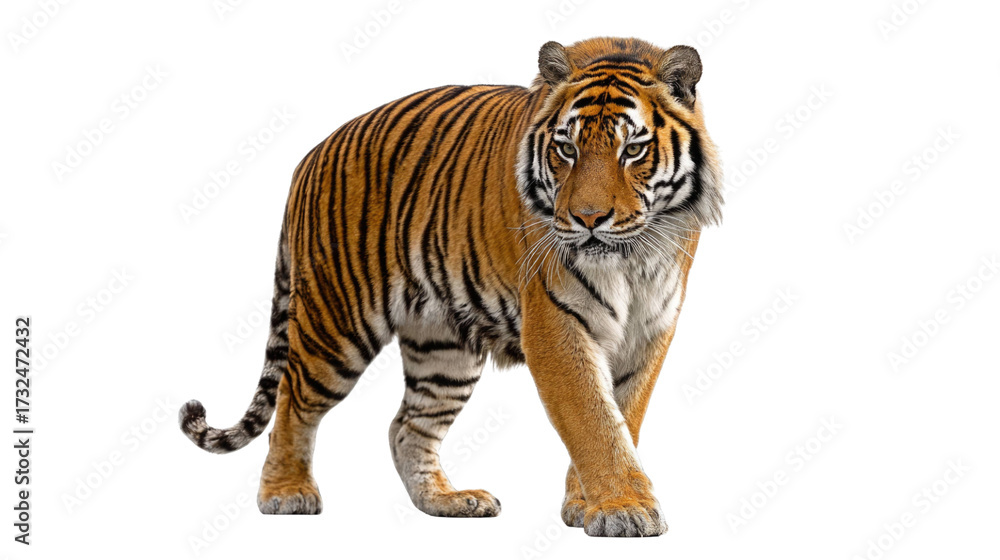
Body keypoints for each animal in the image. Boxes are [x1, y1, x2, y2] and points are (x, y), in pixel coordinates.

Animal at [179, 36, 723, 538]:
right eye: (567, 148)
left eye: (633, 150)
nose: (588, 219)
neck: (634, 260)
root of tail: (310, 157)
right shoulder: (556, 325)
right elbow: (592, 419)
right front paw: (622, 510)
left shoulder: (649, 330)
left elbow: (623, 417)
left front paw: (586, 505)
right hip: (336, 326)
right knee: (293, 401)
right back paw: (286, 493)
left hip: (443, 346)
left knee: (406, 427)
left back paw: (447, 501)